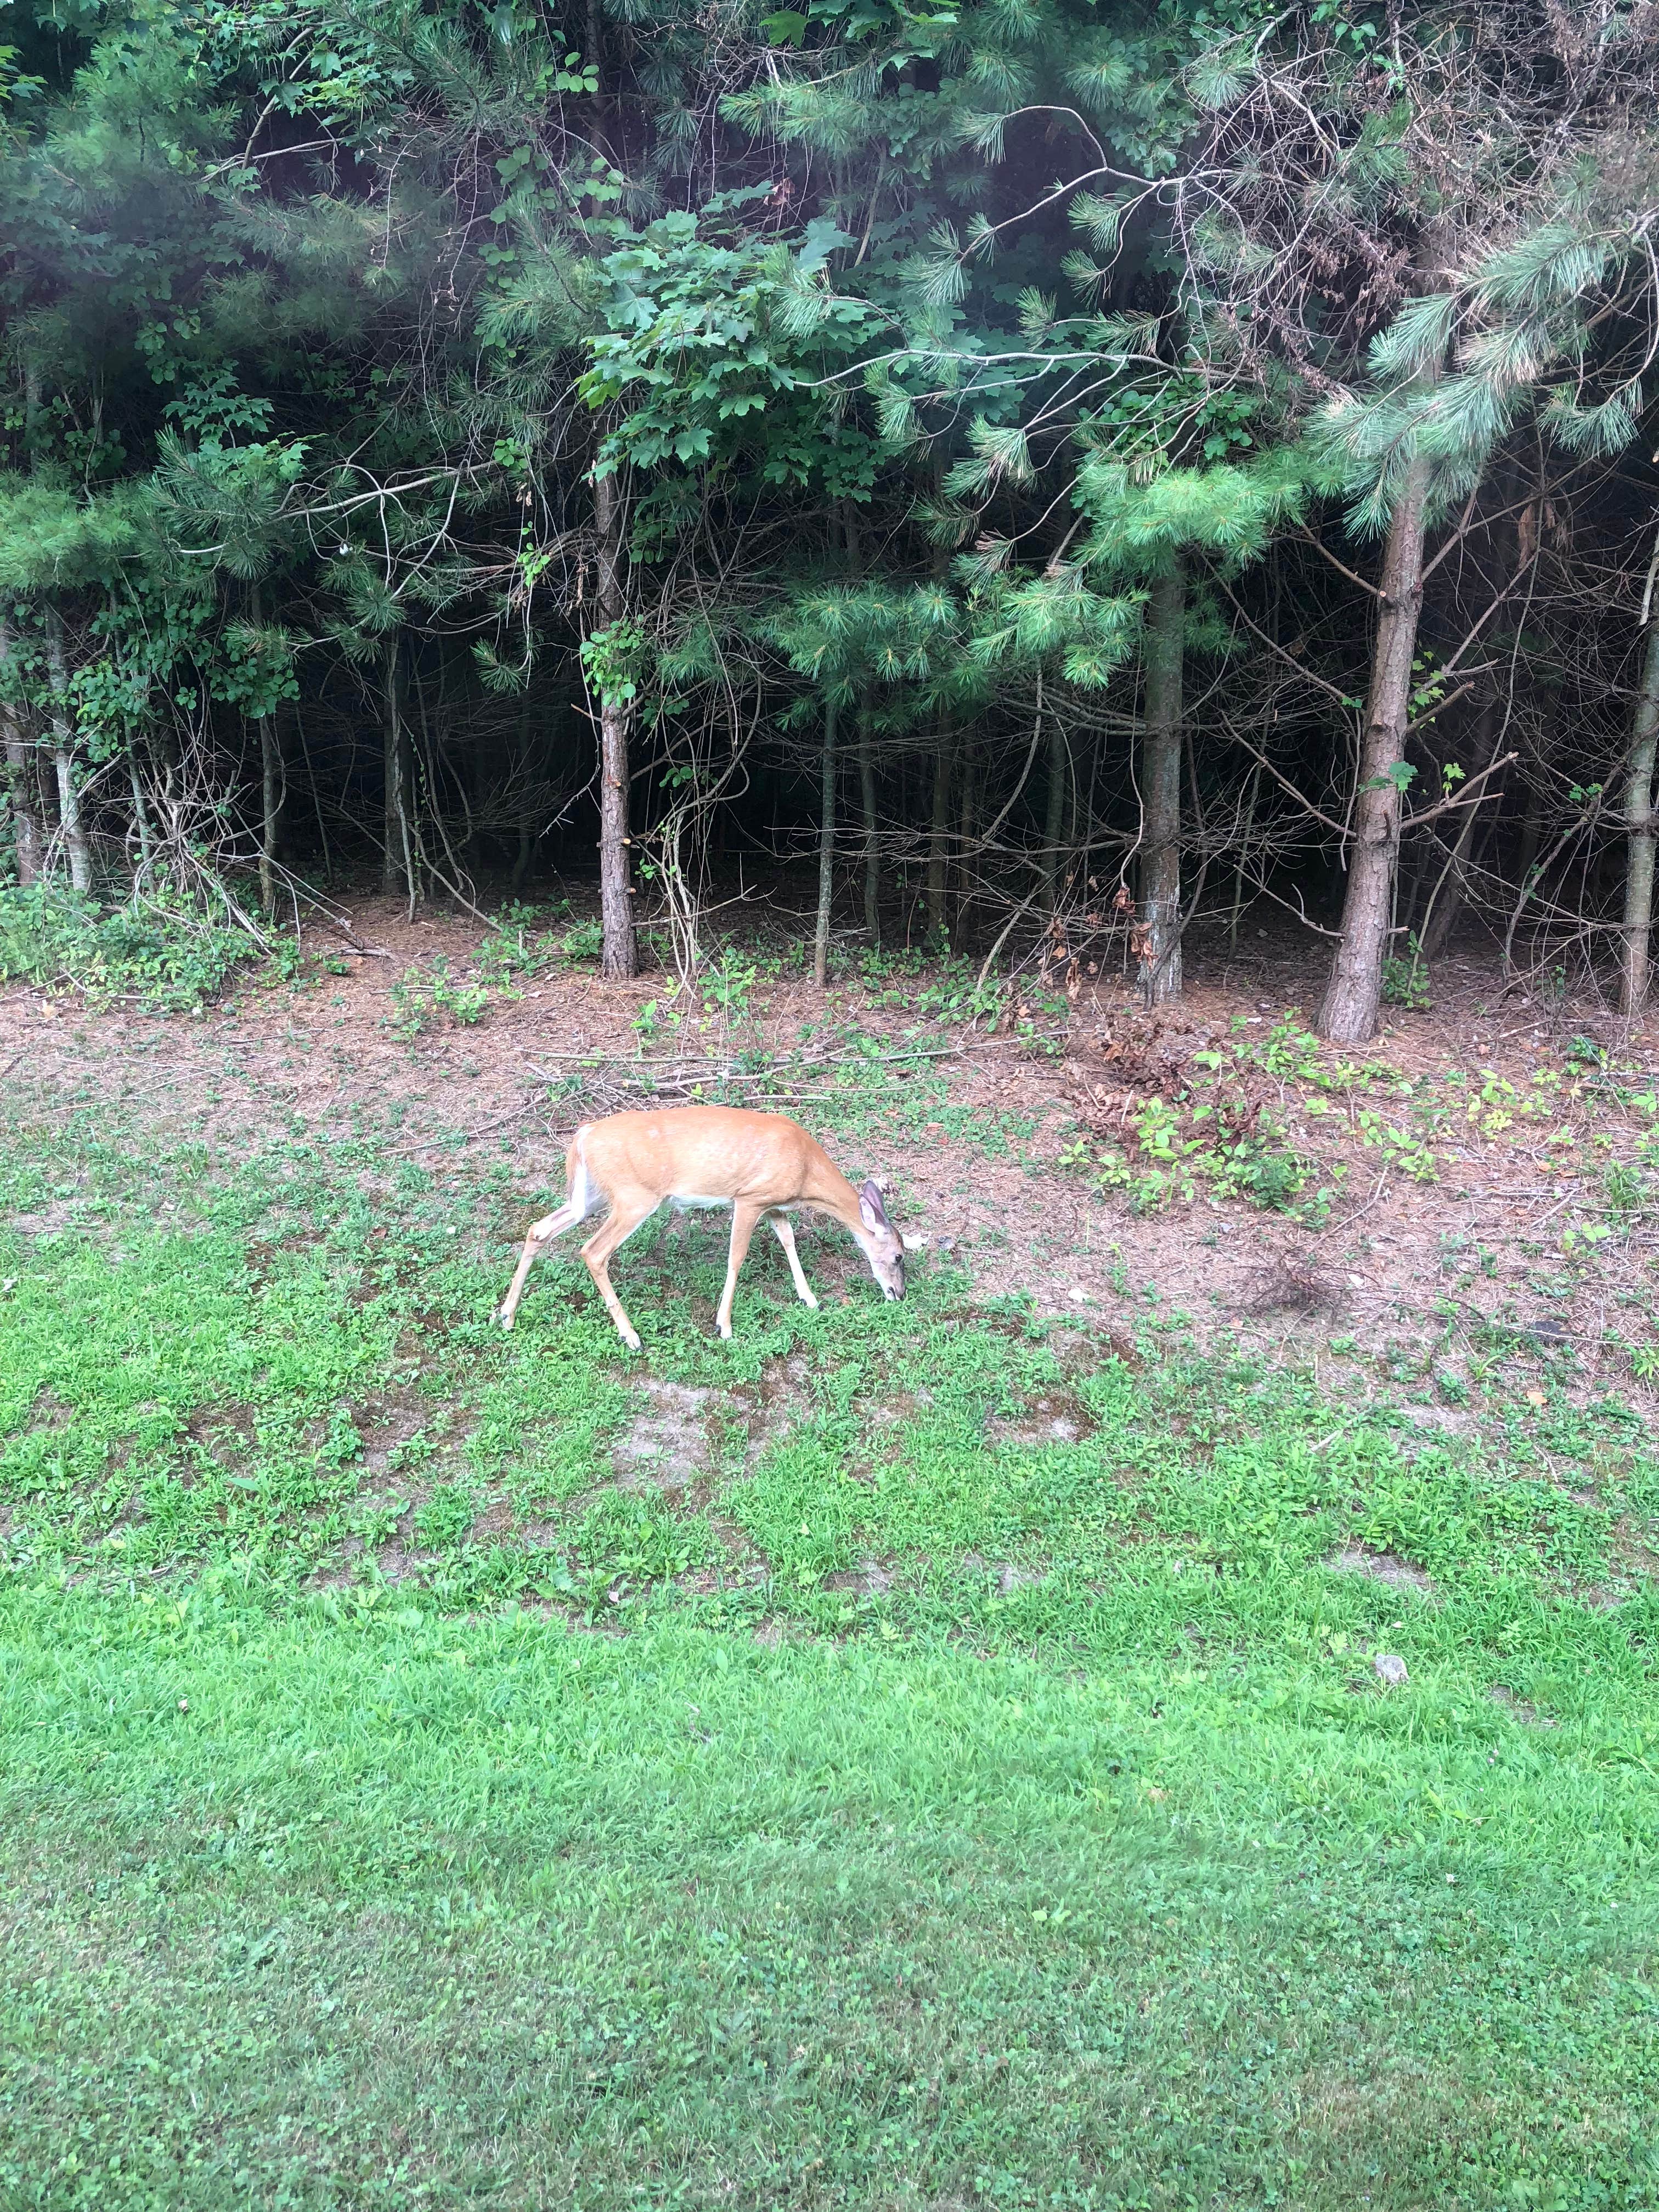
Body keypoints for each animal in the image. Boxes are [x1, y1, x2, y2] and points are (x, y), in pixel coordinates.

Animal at [498, 1101, 911, 1345]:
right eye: (898, 1256)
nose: (900, 1294)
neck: (806, 1172)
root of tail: (583, 1136)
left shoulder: (773, 1202)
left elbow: (788, 1238)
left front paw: (809, 1298)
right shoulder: (750, 1197)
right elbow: (737, 1257)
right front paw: (723, 1326)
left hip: (590, 1196)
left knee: (539, 1229)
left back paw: (506, 1315)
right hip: (634, 1197)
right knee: (593, 1251)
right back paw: (631, 1335)